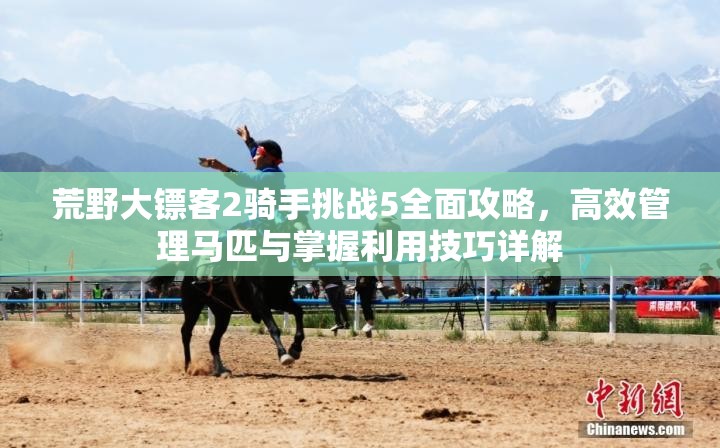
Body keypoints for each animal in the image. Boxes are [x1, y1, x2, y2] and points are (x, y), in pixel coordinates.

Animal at [148, 214, 311, 377]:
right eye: (291, 231)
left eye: (308, 229)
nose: (306, 260)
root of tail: (189, 264)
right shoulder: (260, 301)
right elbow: (273, 328)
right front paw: (284, 355)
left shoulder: (280, 299)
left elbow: (299, 312)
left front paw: (295, 349)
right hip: (193, 306)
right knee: (186, 332)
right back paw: (189, 366)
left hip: (222, 312)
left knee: (213, 342)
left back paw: (221, 370)